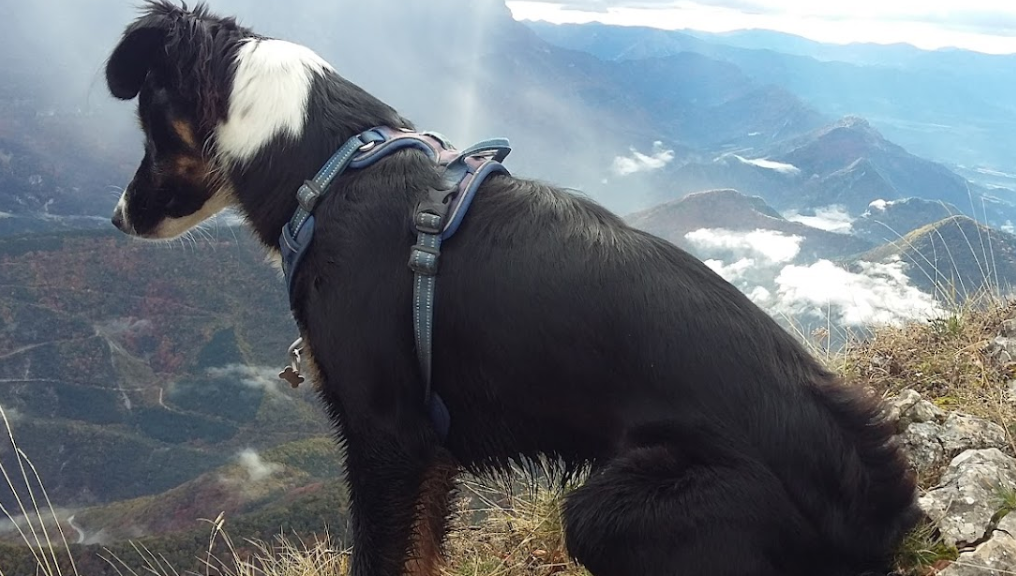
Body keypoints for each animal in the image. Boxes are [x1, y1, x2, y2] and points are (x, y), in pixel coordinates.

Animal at [101, 2, 922, 572]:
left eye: (148, 128)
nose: (116, 218)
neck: (329, 167)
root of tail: (878, 496)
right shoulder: (429, 450)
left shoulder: (386, 436)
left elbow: (380, 557)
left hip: (605, 509)